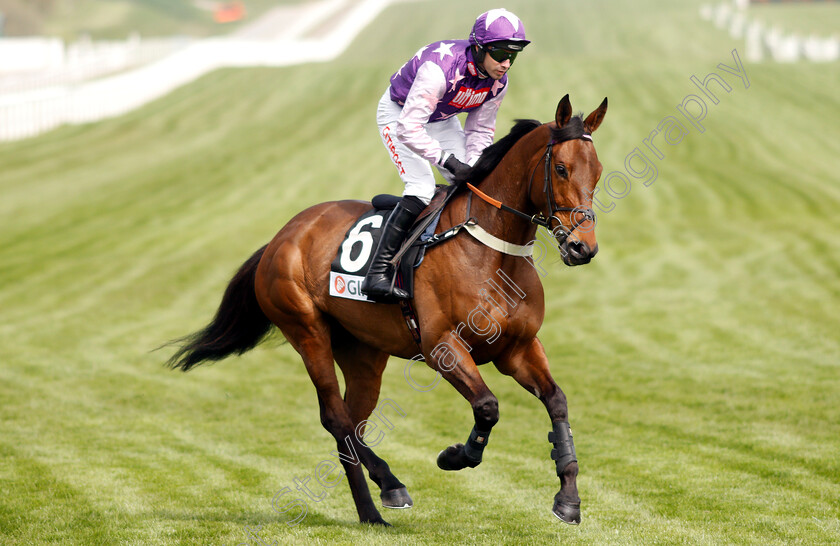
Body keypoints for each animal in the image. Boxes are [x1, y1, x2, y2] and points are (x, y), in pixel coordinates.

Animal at [167, 93, 608, 524]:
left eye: (598, 172)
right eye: (562, 169)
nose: (582, 247)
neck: (490, 250)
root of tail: (282, 236)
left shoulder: (517, 348)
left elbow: (557, 402)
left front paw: (568, 498)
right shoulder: (441, 347)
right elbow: (487, 406)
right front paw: (455, 456)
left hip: (364, 352)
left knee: (353, 423)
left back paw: (380, 498)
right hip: (307, 331)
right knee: (336, 418)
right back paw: (381, 499)